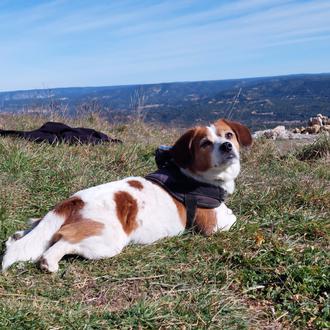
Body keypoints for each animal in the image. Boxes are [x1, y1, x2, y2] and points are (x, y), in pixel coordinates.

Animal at [1, 118, 251, 270]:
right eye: (205, 143)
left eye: (229, 135)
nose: (227, 146)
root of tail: (75, 200)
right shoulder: (212, 225)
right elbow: (234, 218)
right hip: (107, 240)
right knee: (60, 244)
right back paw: (49, 263)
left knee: (35, 227)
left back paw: (17, 236)